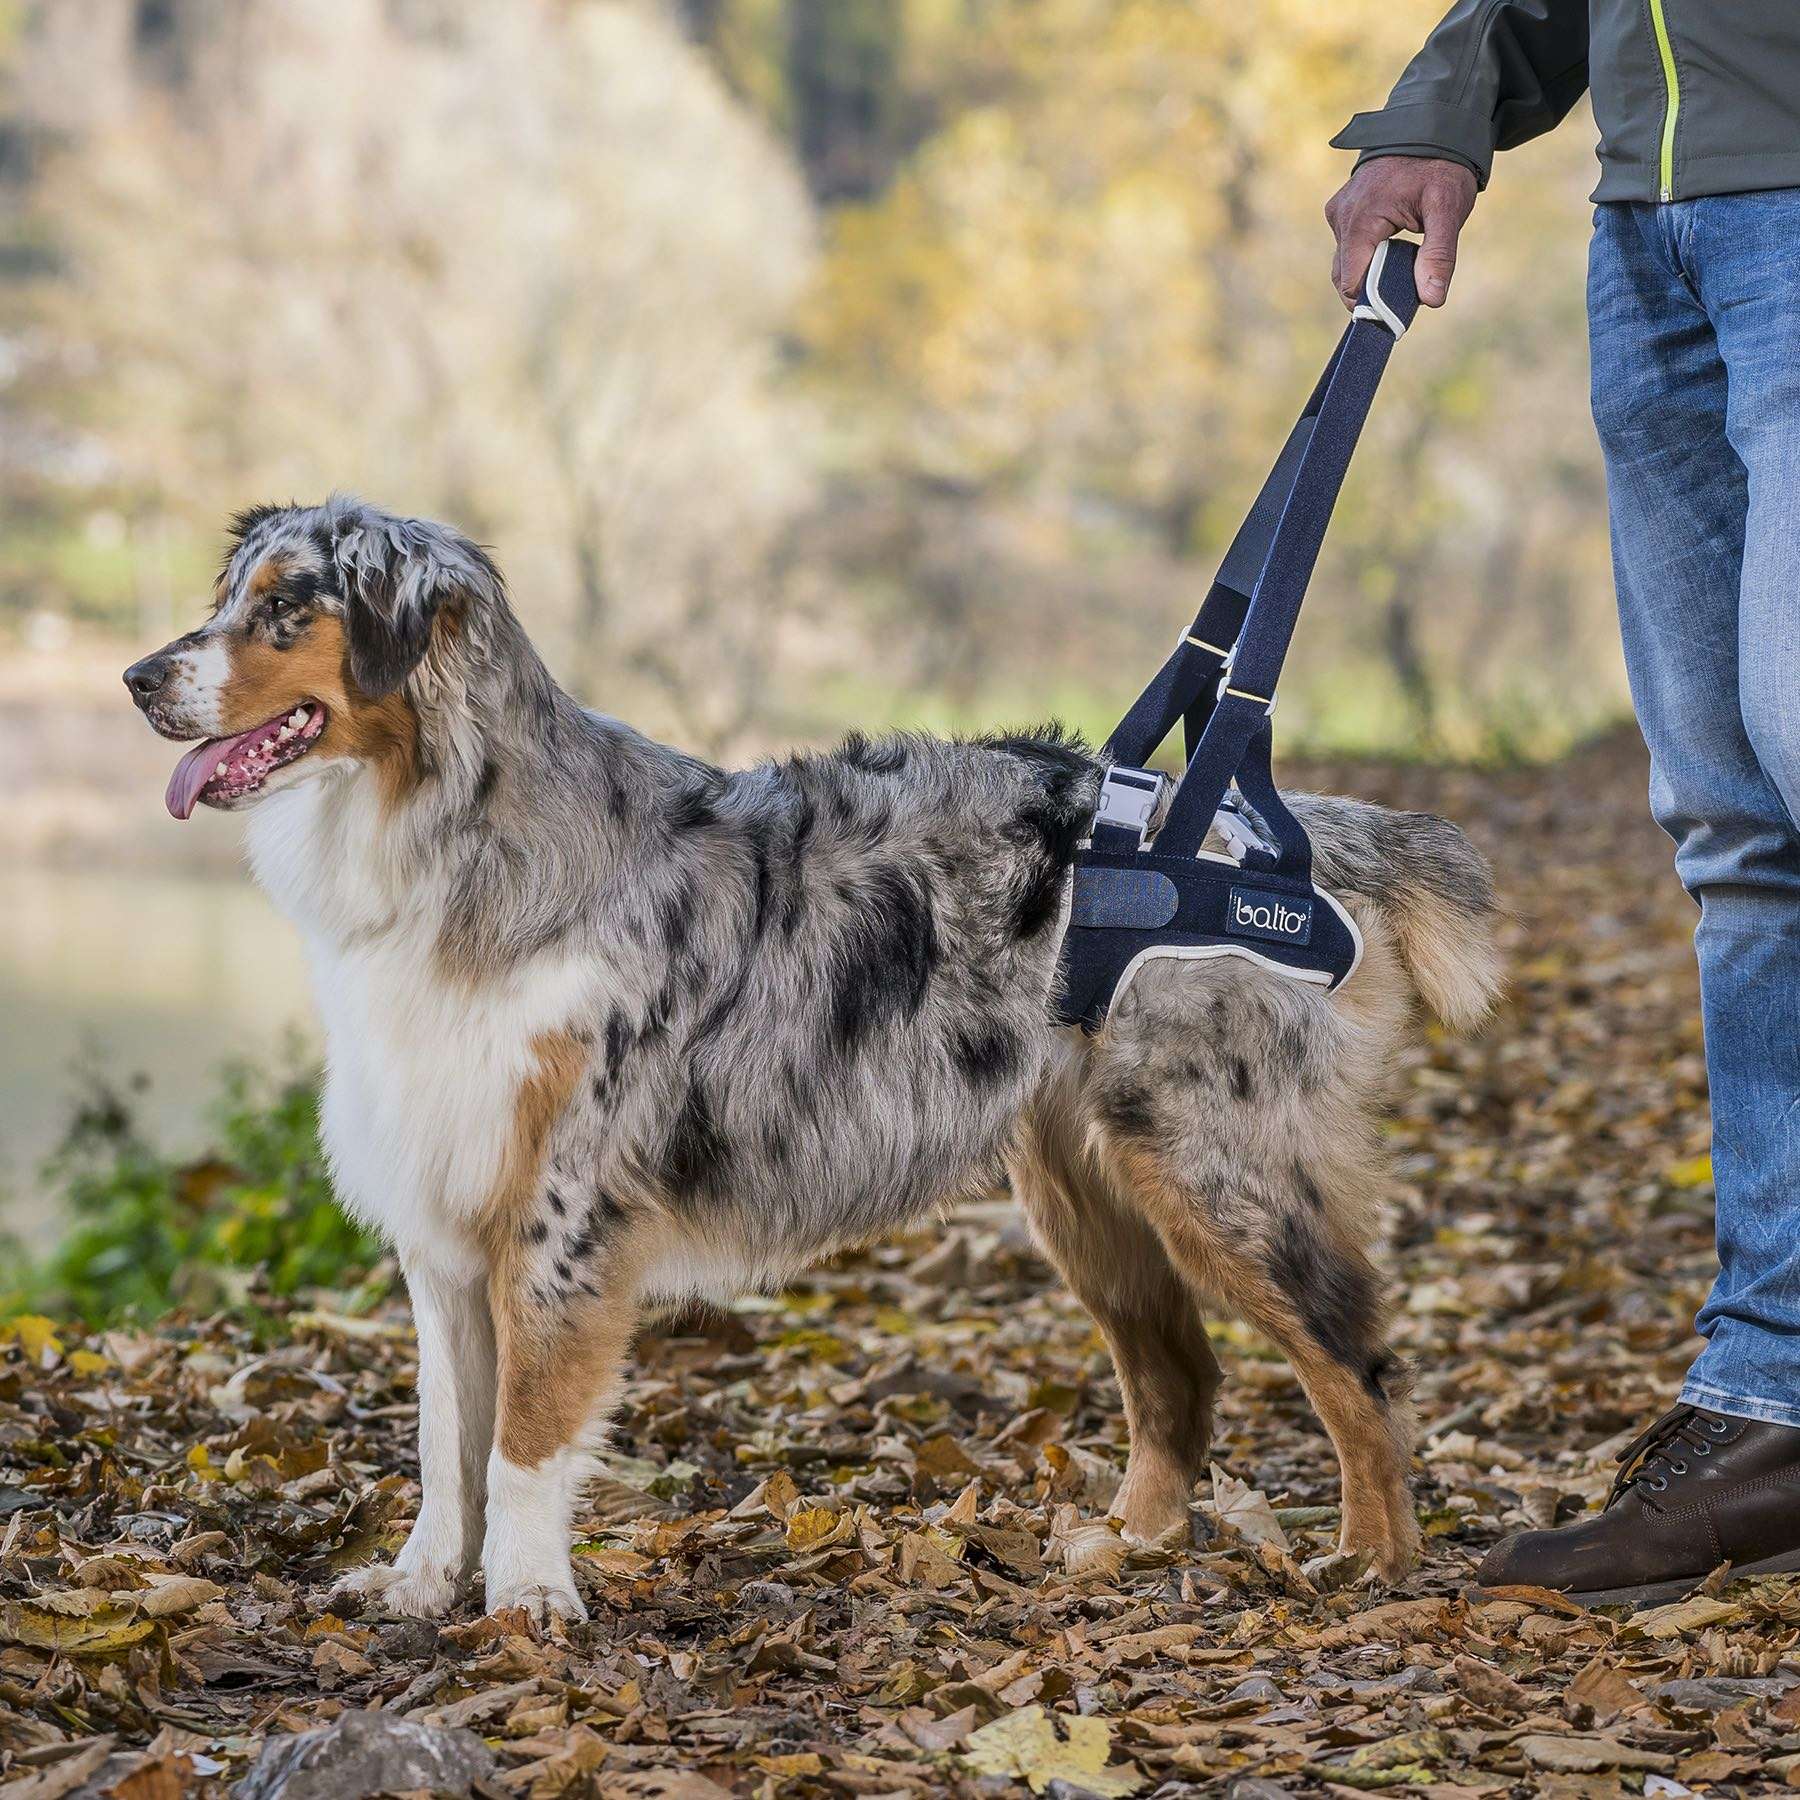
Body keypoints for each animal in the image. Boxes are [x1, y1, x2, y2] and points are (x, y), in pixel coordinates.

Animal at [126, 500, 1497, 1627]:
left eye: (286, 607)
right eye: (228, 594)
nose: (137, 677)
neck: (461, 842)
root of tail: (1296, 831)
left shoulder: (562, 1216)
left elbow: (522, 1441)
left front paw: (524, 1603)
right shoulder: (446, 1216)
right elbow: (444, 1440)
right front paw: (421, 1584)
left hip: (1220, 1172)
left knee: (1358, 1362)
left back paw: (1373, 1563)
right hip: (1086, 1189)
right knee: (1181, 1374)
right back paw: (1129, 1546)